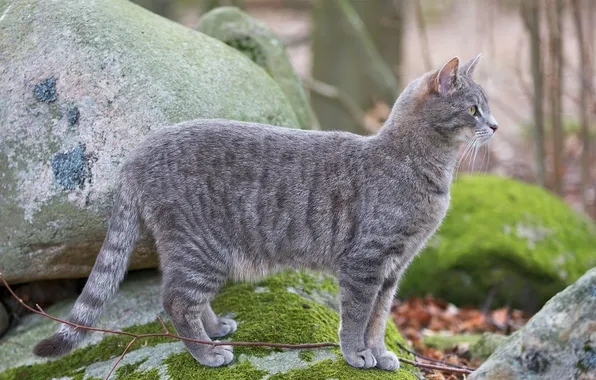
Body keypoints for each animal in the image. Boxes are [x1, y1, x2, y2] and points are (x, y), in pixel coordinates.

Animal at [33, 55, 498, 370]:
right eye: (473, 109)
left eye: (486, 108)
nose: (494, 126)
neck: (424, 167)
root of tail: (136, 153)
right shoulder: (365, 264)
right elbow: (355, 318)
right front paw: (355, 355)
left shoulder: (392, 271)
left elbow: (378, 319)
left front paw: (379, 352)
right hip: (201, 249)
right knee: (175, 301)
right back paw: (207, 353)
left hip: (197, 252)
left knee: (184, 297)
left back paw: (215, 329)